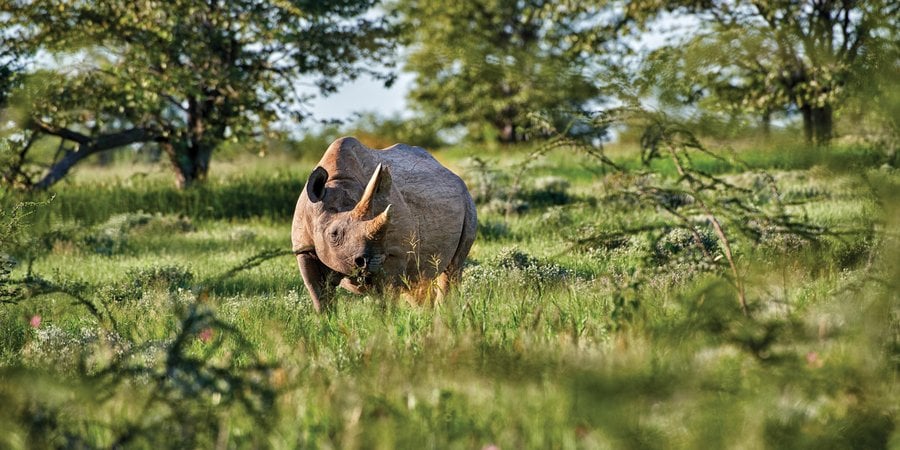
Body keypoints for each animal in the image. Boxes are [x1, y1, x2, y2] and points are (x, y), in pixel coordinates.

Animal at [291, 137, 477, 311]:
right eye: (333, 234)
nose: (367, 262)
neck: (339, 181)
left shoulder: (394, 253)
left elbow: (387, 295)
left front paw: (385, 320)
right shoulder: (304, 247)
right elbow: (318, 293)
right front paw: (326, 320)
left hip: (467, 202)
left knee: (452, 268)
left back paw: (443, 314)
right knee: (417, 280)